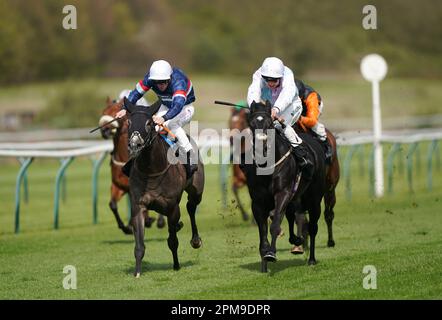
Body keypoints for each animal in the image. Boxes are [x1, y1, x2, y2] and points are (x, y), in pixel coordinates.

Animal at [98, 96, 164, 234]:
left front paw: (147, 220)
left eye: (116, 113)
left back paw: (160, 221)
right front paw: (126, 227)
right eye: (104, 111)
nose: (104, 130)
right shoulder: (119, 186)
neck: (124, 157)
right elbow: (112, 205)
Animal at [121, 97, 203, 278]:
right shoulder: (138, 205)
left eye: (149, 123)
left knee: (191, 207)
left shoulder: (172, 207)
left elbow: (173, 241)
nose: (135, 145)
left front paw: (176, 265)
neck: (152, 171)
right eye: (129, 122)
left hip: (196, 191)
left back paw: (195, 240)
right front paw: (137, 272)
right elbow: (139, 245)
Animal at [240, 101, 326, 272]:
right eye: (251, 125)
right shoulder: (258, 202)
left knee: (313, 227)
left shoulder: (283, 193)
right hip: (296, 197)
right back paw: (296, 240)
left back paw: (311, 259)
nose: (261, 149)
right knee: (292, 215)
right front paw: (264, 264)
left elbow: (275, 224)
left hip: (314, 198)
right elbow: (263, 229)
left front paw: (271, 254)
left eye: (269, 124)